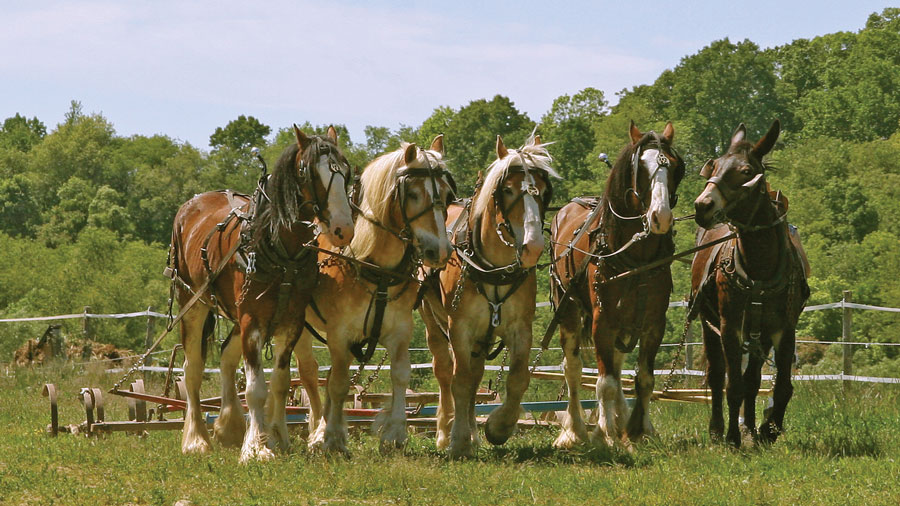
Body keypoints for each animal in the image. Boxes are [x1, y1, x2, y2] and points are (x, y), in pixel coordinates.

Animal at [169, 125, 354, 461]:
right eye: (308, 172)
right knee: (193, 370)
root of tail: (191, 205)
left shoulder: (291, 320)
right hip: (193, 301)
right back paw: (196, 439)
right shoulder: (252, 320)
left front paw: (277, 438)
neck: (281, 248)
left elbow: (280, 382)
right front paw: (256, 447)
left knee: (226, 356)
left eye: (346, 172)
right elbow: (255, 388)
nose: (343, 229)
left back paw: (228, 426)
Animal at [281, 136, 454, 455]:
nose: (440, 251)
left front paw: (395, 433)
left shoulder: (399, 330)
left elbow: (400, 374)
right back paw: (318, 430)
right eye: (412, 193)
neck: (374, 264)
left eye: (448, 195)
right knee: (310, 373)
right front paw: (331, 437)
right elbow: (337, 382)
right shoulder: (339, 334)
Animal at [420, 134, 558, 459]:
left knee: (475, 374)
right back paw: (445, 432)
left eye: (544, 190)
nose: (533, 246)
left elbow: (517, 378)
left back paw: (472, 432)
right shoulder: (461, 327)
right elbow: (459, 380)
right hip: (433, 321)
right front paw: (457, 441)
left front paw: (498, 427)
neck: (493, 266)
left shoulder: (520, 328)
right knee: (445, 371)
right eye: (507, 190)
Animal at [548, 121, 684, 447]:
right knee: (572, 369)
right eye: (641, 168)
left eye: (675, 167)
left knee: (618, 363)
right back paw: (575, 431)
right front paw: (605, 434)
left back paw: (619, 418)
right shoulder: (603, 320)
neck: (635, 254)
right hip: (567, 308)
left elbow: (644, 378)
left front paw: (640, 430)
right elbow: (605, 382)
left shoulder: (653, 323)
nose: (660, 217)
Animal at [691, 120, 809, 446]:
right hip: (709, 323)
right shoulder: (729, 326)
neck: (760, 268)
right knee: (717, 376)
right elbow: (732, 385)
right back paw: (719, 429)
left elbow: (780, 385)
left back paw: (751, 430)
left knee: (753, 378)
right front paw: (732, 437)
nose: (702, 206)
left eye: (745, 171)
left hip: (759, 335)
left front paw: (768, 429)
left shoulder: (783, 329)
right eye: (715, 165)